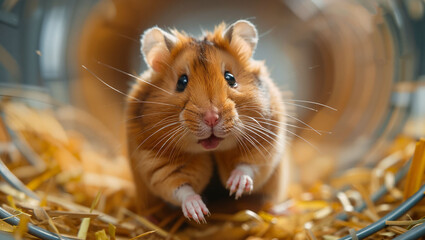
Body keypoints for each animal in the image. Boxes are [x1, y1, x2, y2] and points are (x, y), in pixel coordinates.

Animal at [126, 20, 288, 223]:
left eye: (230, 78)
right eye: (181, 82)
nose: (212, 118)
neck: (211, 149)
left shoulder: (265, 145)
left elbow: (248, 166)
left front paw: (235, 187)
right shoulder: (156, 162)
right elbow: (180, 187)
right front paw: (199, 213)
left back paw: (281, 211)